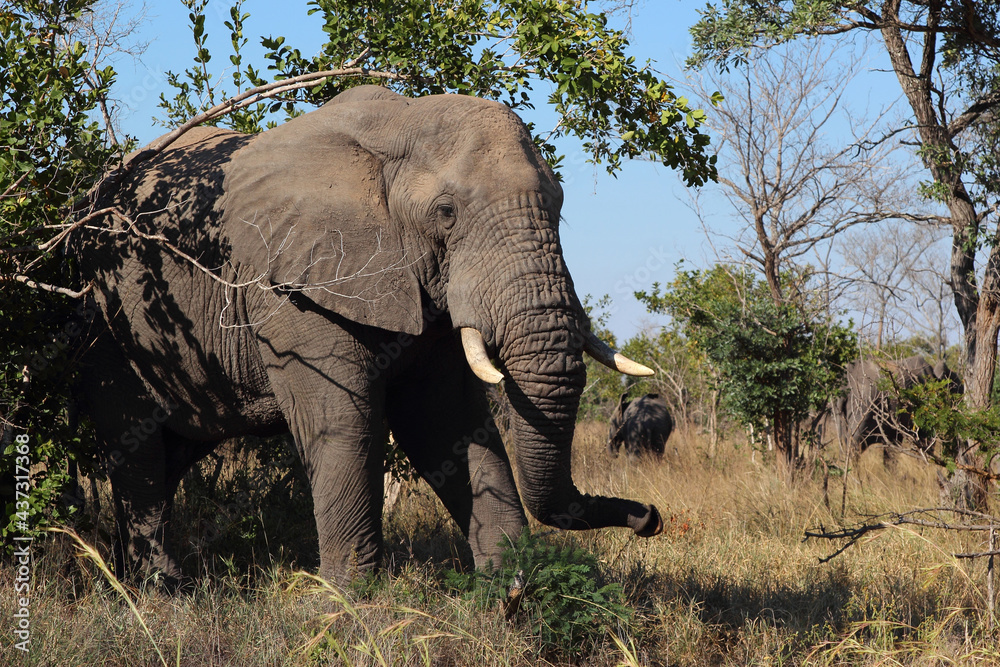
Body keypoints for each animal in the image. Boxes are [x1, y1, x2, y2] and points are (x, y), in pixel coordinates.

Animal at [71, 85, 663, 587]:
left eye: (559, 203)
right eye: (446, 213)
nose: (649, 517)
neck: (398, 126)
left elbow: (445, 423)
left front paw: (511, 591)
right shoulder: (291, 287)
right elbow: (345, 425)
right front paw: (349, 603)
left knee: (173, 453)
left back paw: (130, 576)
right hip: (106, 321)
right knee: (135, 446)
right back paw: (162, 589)